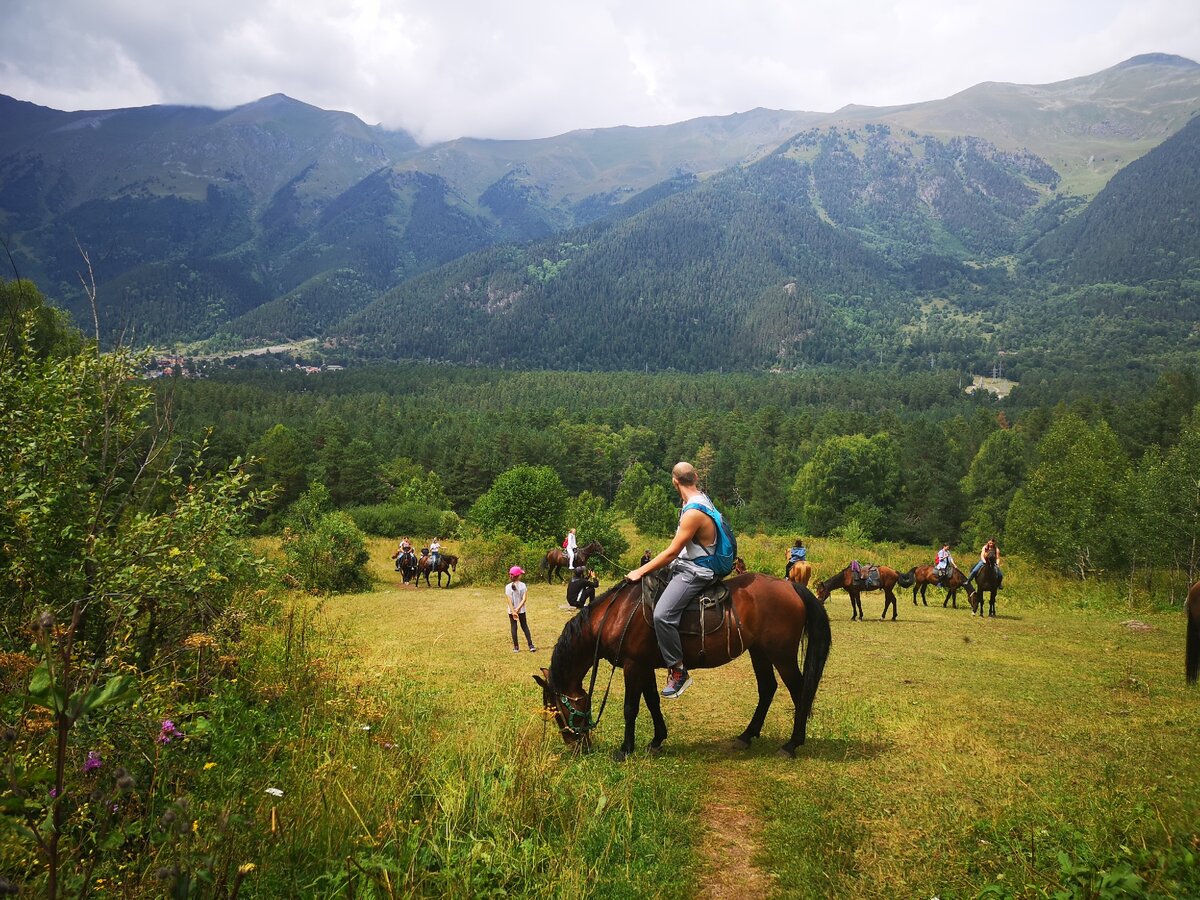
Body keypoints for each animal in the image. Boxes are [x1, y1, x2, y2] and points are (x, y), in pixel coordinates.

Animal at [530, 578, 830, 763]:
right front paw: (656, 740)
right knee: (767, 688)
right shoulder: (644, 665)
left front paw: (626, 750)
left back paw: (792, 744)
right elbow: (652, 702)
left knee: (800, 692)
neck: (616, 615)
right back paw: (746, 736)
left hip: (782, 655)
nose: (576, 747)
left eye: (557, 711)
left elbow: (631, 708)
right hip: (759, 652)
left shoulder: (633, 665)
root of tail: (791, 586)